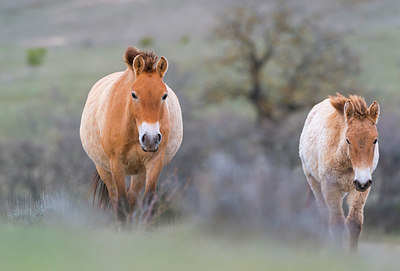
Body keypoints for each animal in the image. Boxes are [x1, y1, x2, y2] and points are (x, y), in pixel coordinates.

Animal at [79, 47, 184, 225]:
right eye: (134, 94)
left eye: (164, 95)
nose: (150, 139)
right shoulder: (116, 164)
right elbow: (121, 204)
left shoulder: (154, 163)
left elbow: (147, 203)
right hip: (104, 169)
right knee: (116, 200)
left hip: (139, 172)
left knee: (133, 199)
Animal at [298, 93, 380, 251]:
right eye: (348, 140)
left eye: (375, 140)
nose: (361, 181)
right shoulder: (330, 187)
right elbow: (336, 223)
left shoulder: (361, 189)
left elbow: (354, 223)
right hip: (315, 183)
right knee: (324, 217)